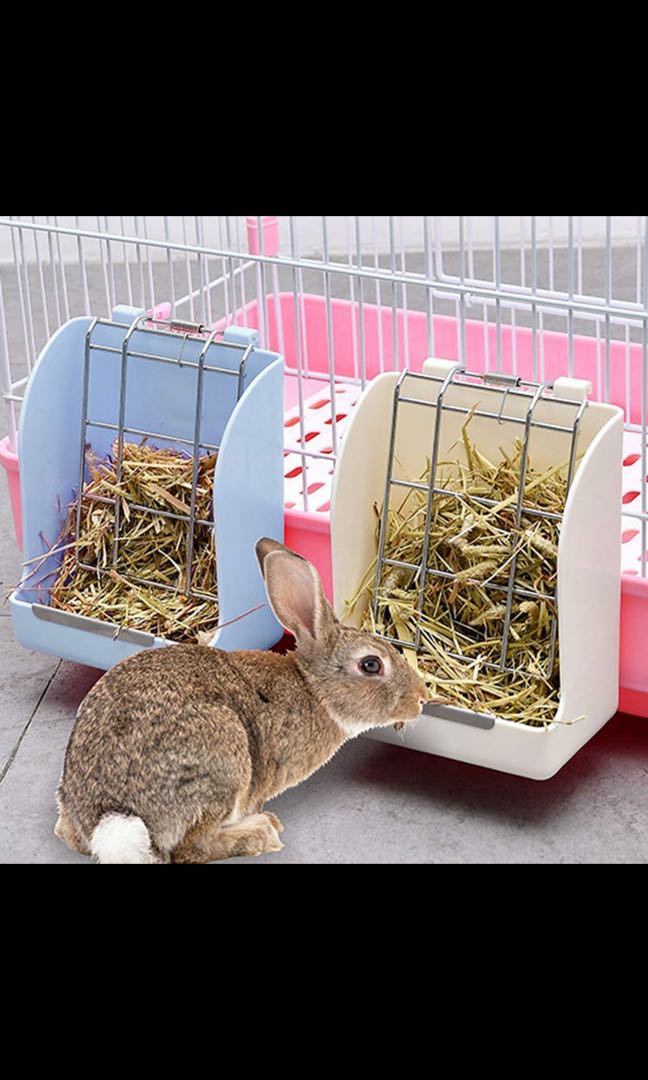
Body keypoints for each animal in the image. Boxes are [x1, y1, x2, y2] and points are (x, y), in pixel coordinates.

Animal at [54, 538, 428, 864]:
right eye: (371, 664)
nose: (420, 698)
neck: (313, 689)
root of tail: (112, 814)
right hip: (224, 762)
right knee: (191, 849)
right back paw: (262, 832)